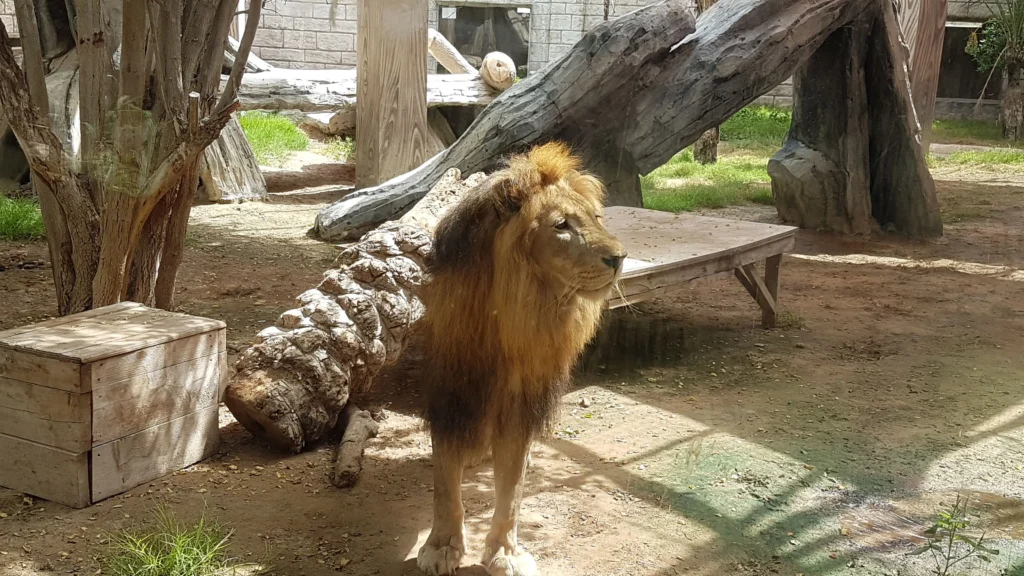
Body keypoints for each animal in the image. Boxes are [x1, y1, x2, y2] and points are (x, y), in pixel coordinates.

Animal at [413, 140, 622, 573]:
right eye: (561, 225)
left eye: (596, 218)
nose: (620, 257)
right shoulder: (452, 395)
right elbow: (445, 483)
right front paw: (442, 546)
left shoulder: (521, 406)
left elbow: (512, 490)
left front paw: (505, 553)